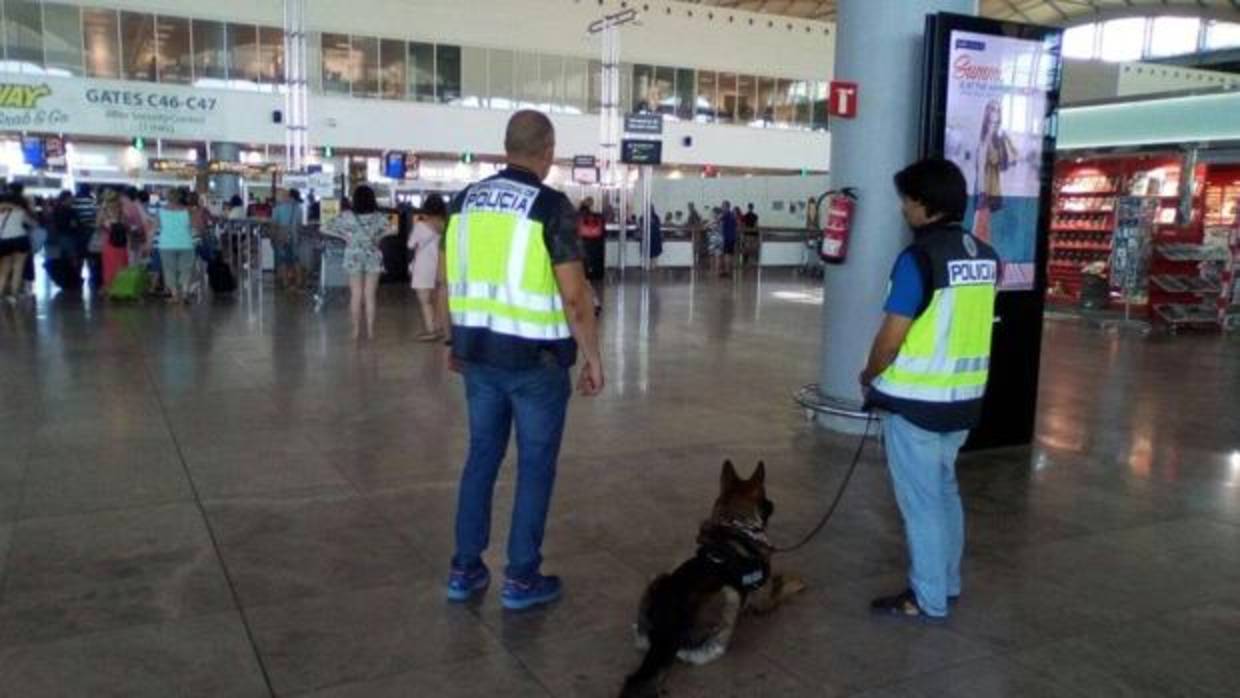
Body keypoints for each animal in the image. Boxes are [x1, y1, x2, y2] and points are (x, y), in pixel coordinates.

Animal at [617, 461, 803, 694]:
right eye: (765, 496)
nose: (772, 503)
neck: (735, 521)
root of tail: (665, 632)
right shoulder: (764, 601)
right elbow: (782, 586)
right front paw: (796, 582)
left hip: (659, 577)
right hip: (730, 595)